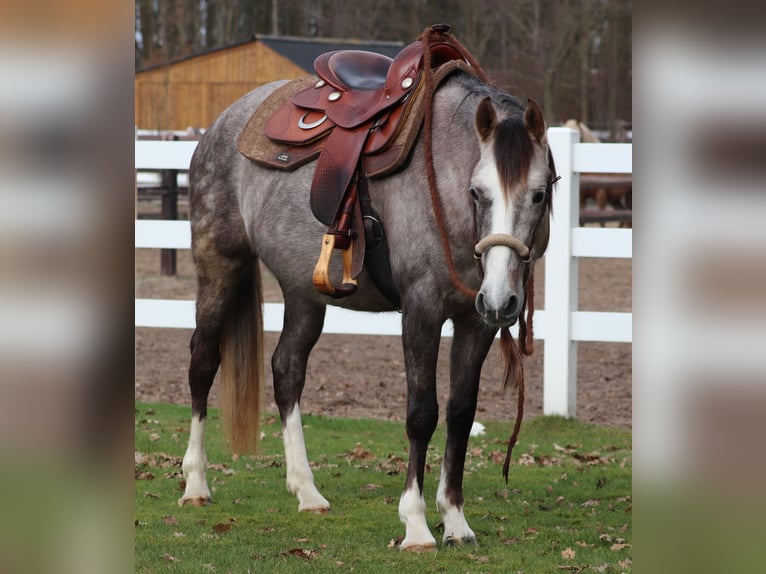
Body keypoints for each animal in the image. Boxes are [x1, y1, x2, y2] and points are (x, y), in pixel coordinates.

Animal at [183, 56, 560, 552]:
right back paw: (195, 483)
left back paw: (307, 491)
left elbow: (460, 414)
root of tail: (223, 123)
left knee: (287, 371)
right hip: (219, 266)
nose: (502, 299)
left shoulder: (475, 322)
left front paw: (455, 521)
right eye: (477, 193)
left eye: (539, 193)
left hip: (304, 293)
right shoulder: (422, 311)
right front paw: (416, 525)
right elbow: (422, 414)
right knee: (203, 362)